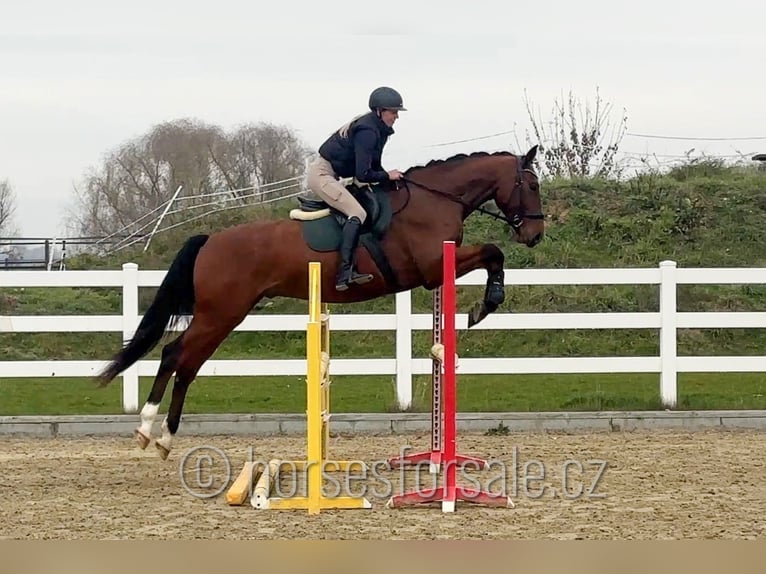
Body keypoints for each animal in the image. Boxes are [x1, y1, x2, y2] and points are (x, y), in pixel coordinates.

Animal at [96, 145, 545, 459]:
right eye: (532, 185)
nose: (535, 235)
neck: (436, 199)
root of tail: (211, 240)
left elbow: (493, 255)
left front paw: (486, 303)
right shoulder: (434, 269)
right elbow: (493, 253)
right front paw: (487, 304)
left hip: (224, 315)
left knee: (186, 363)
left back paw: (164, 438)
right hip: (220, 313)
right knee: (175, 355)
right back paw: (148, 429)